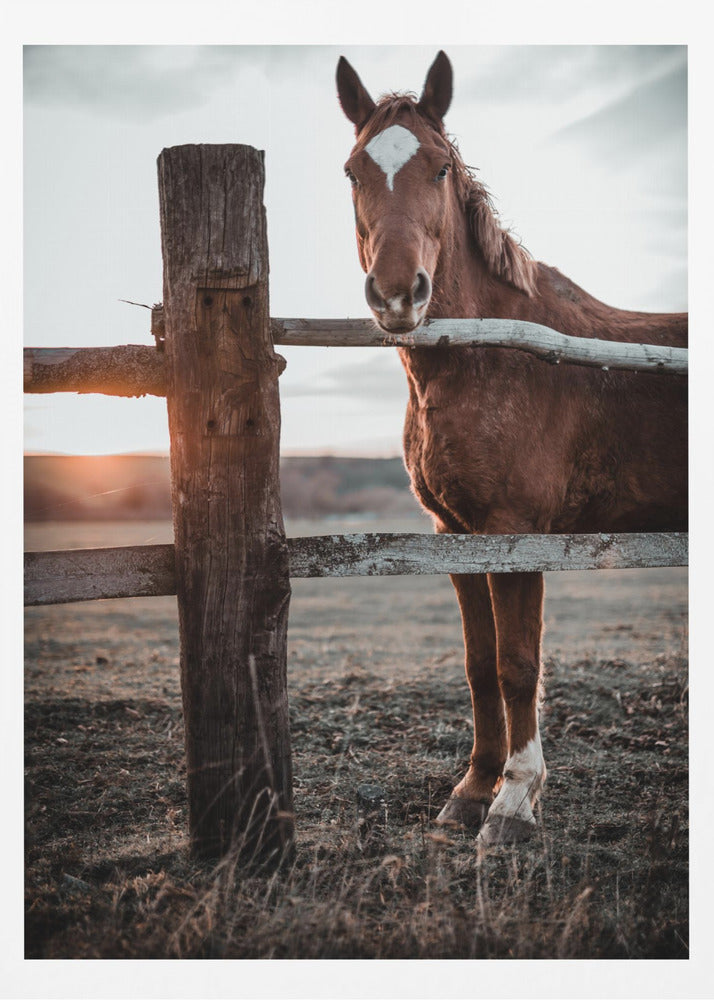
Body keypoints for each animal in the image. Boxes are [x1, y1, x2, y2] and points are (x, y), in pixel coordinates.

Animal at [336, 51, 687, 845]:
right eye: (353, 171)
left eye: (438, 168)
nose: (397, 293)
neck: (490, 354)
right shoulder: (455, 534)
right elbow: (478, 663)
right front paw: (471, 790)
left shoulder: (515, 532)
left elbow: (519, 663)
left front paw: (514, 801)